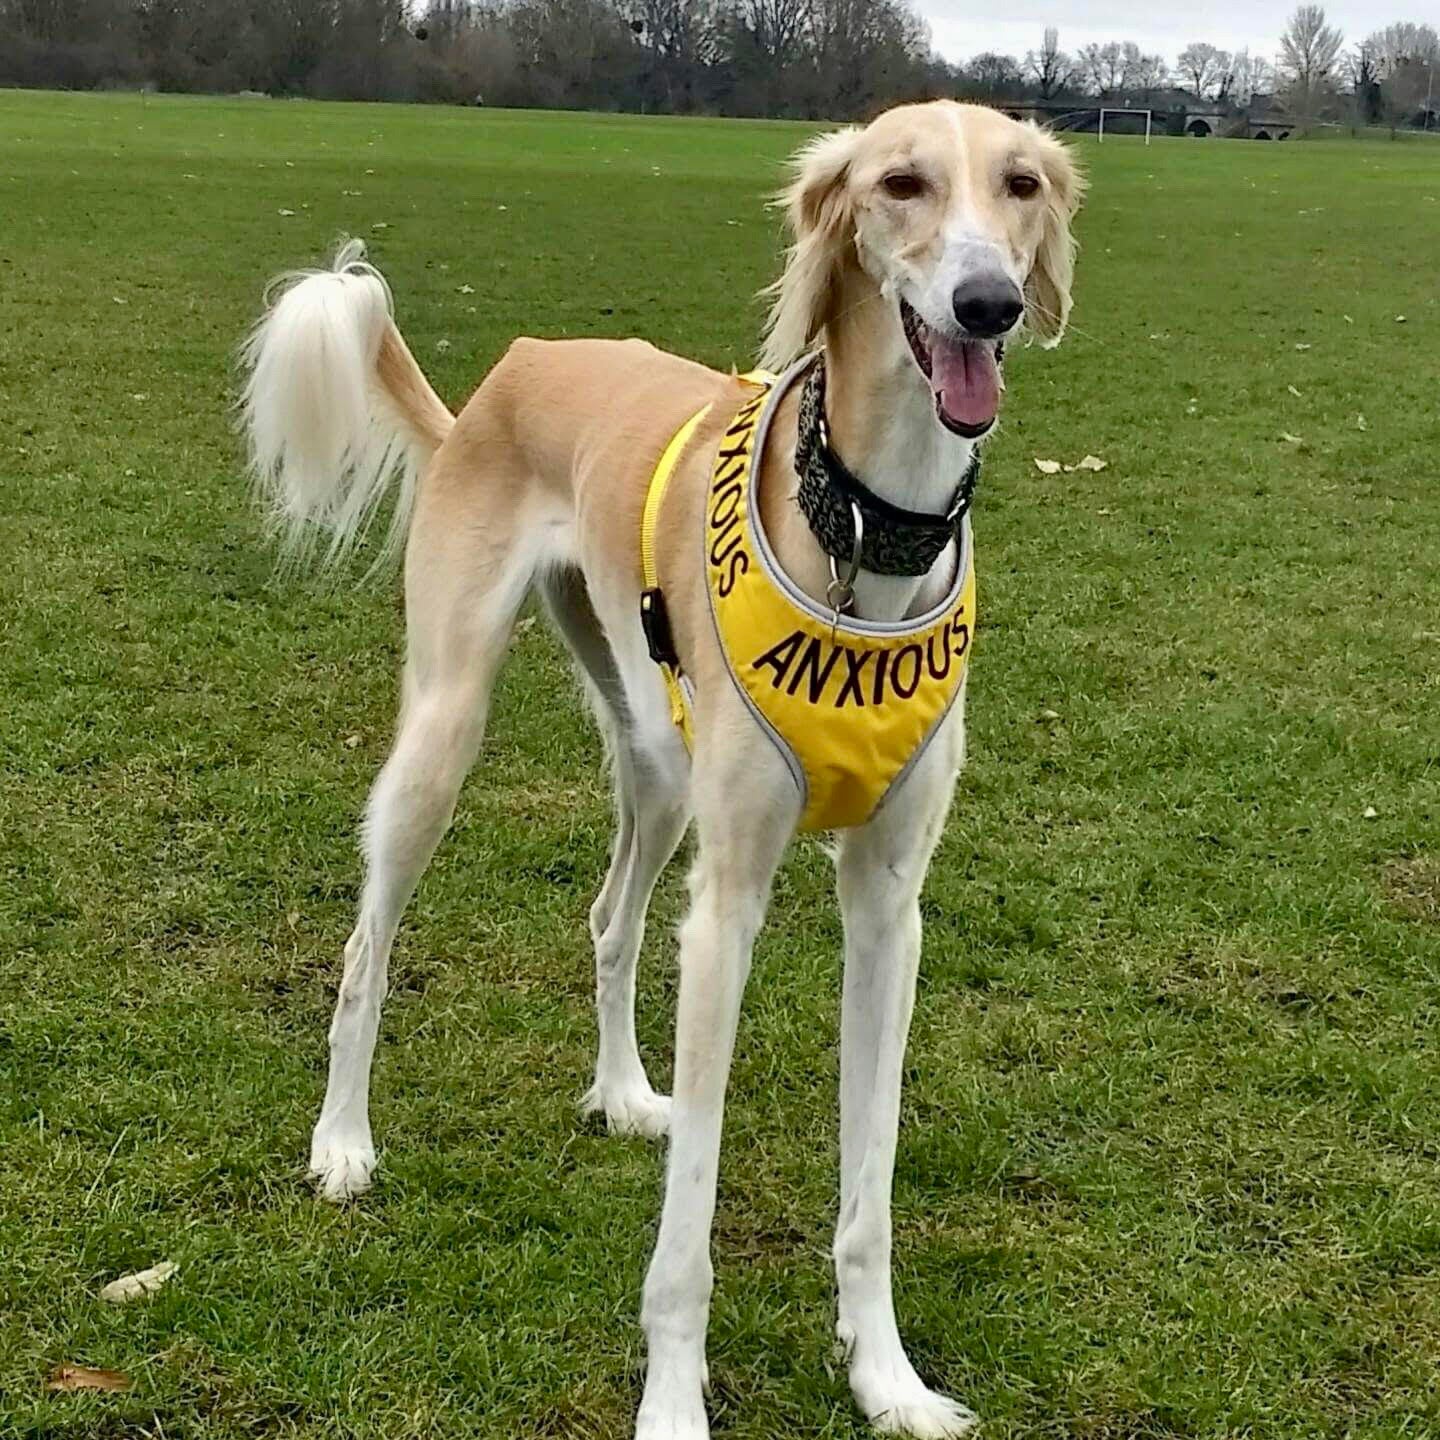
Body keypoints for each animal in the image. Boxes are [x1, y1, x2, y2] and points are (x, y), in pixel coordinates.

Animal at [244, 104, 1082, 1440]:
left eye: (1020, 184)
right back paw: (342, 1142)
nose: (988, 304)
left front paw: (885, 1378)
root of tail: (504, 377)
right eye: (900, 183)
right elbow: (692, 1216)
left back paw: (625, 1091)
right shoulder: (731, 900)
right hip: (444, 732)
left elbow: (871, 1182)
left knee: (606, 916)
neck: (864, 531)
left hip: (655, 756)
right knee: (368, 947)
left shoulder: (889, 905)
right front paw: (676, 1402)